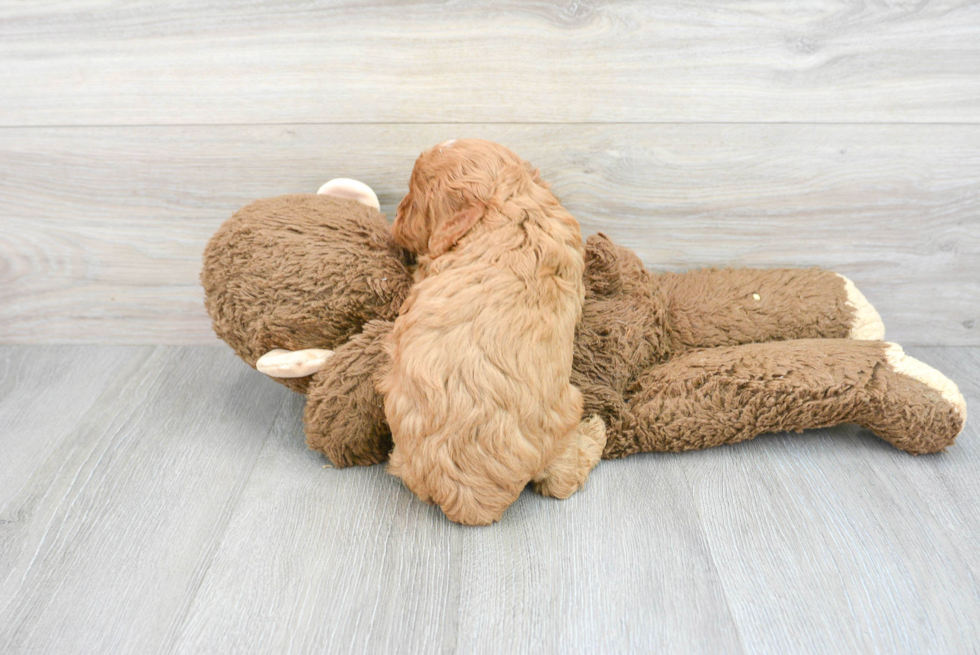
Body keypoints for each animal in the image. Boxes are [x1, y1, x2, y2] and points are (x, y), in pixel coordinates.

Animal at [380, 141, 604, 524]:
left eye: (414, 197)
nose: (394, 220)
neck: (508, 202)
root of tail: (473, 500)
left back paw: (596, 428)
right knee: (562, 479)